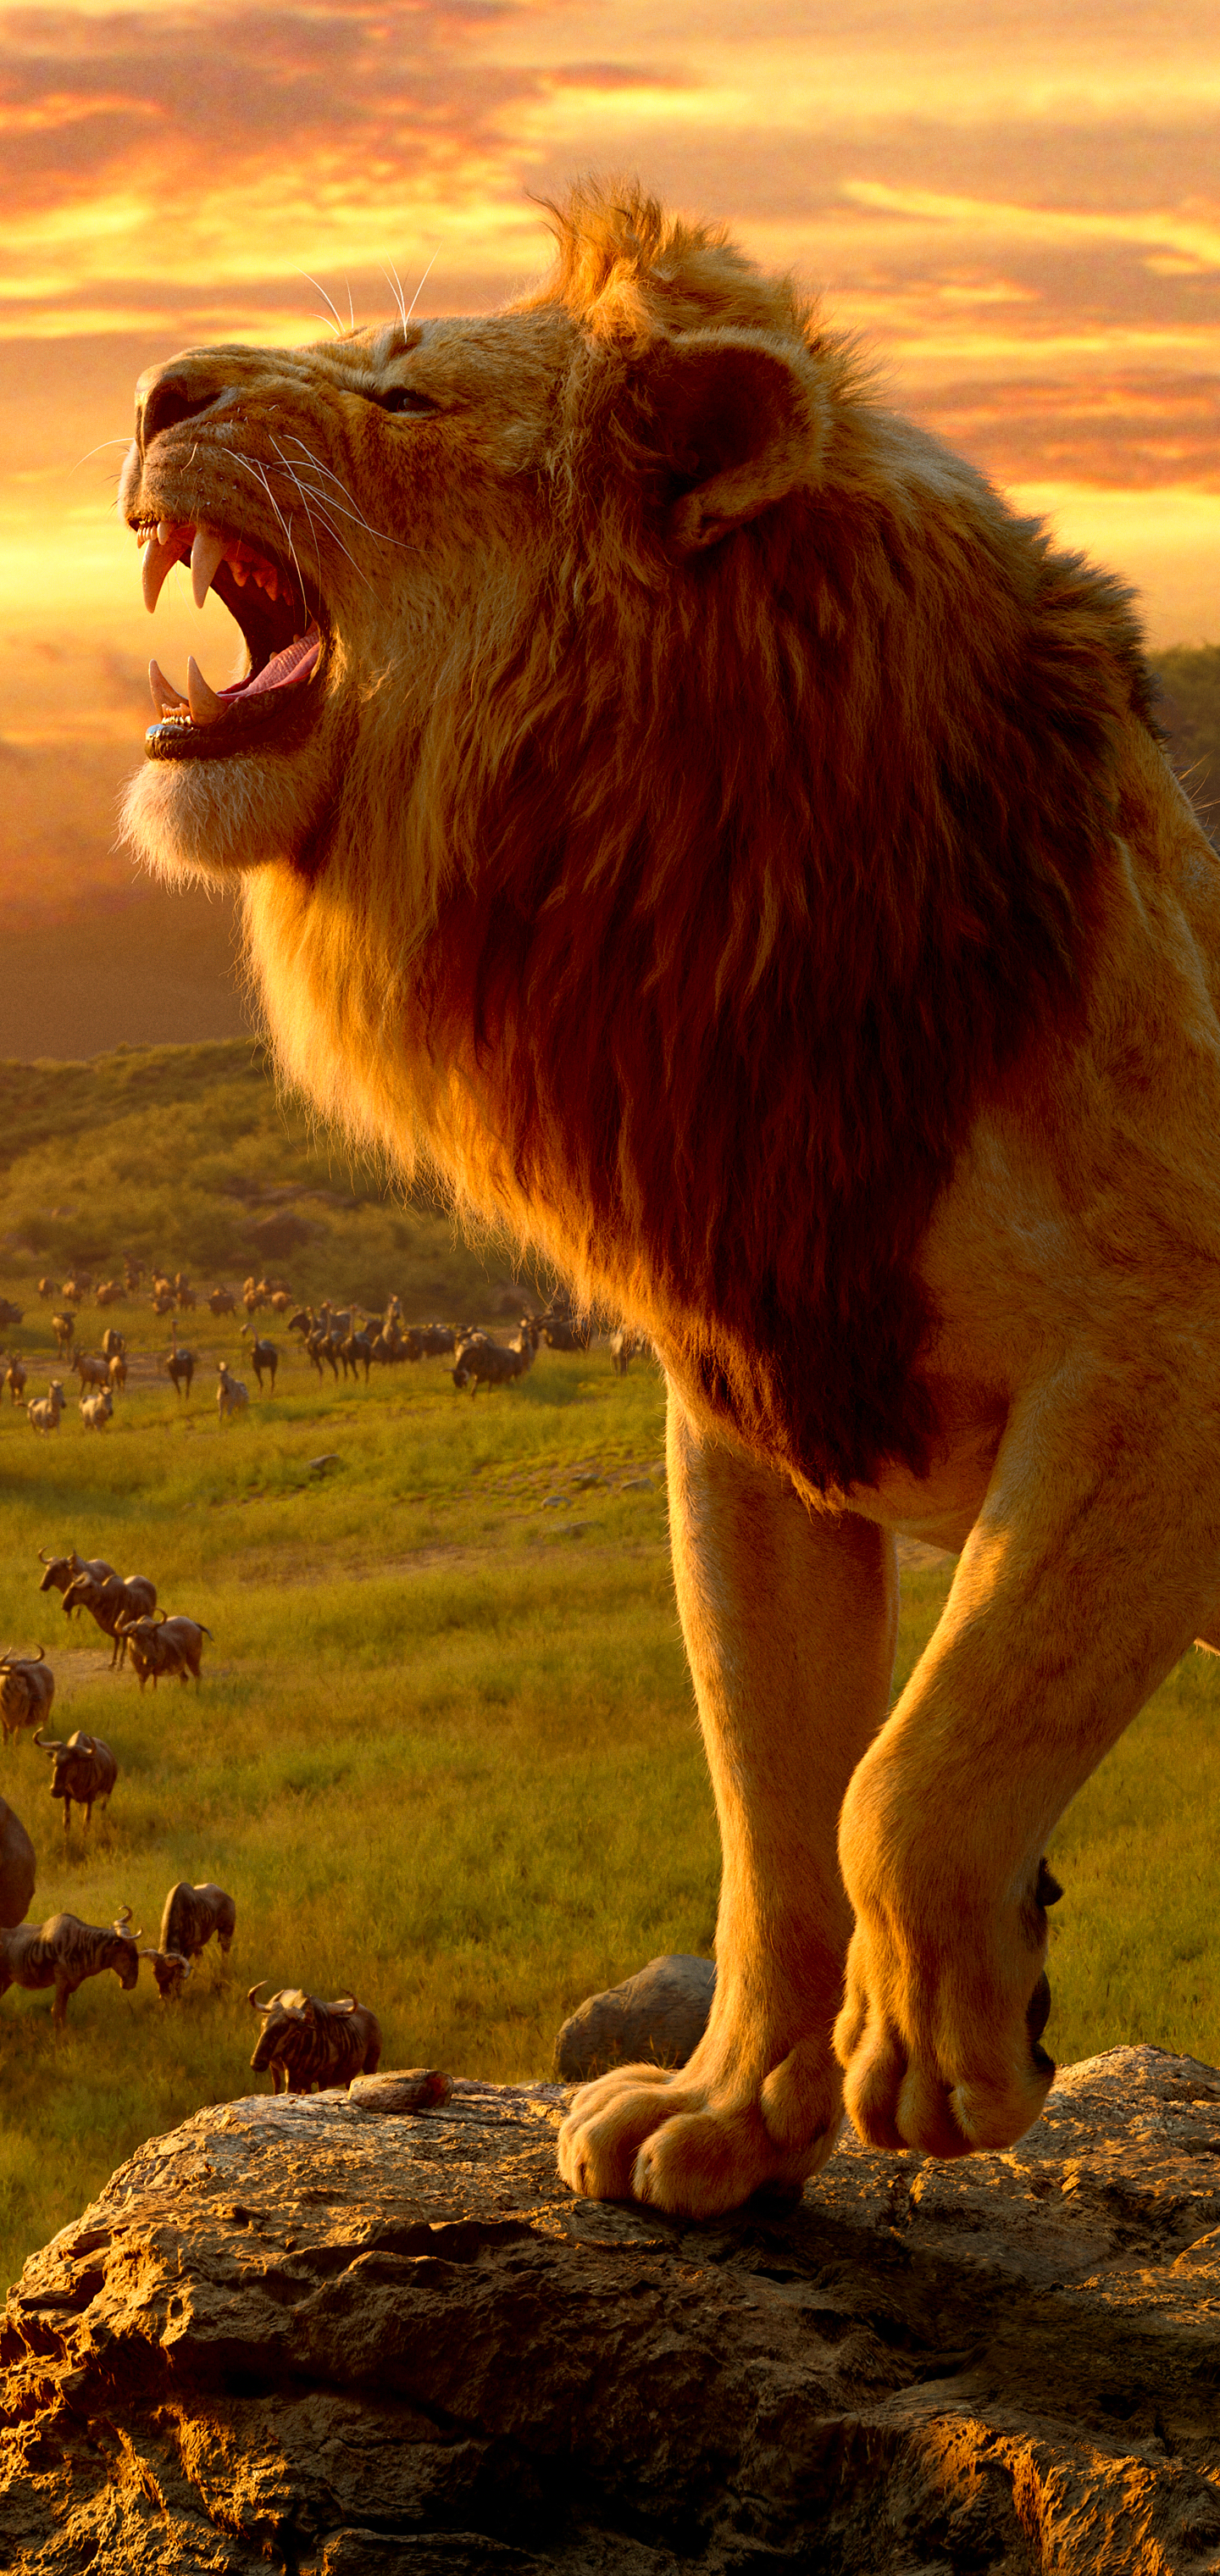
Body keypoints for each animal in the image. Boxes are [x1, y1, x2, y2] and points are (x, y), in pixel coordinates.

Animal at [118, 182, 1220, 2217]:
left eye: (402, 397)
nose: (154, 389)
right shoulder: (750, 1378)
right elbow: (774, 1800)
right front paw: (730, 2115)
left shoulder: (1168, 1349)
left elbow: (913, 1768)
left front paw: (942, 2047)